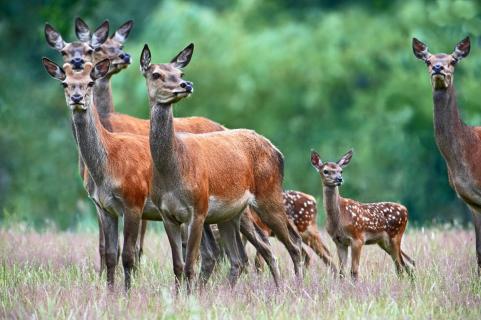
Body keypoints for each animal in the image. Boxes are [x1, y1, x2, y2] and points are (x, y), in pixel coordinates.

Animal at [141, 43, 302, 292]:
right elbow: (177, 266)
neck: (173, 169)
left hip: (269, 195)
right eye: (156, 74)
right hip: (230, 214)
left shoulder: (198, 209)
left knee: (292, 245)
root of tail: (278, 152)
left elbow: (190, 265)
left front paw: (190, 296)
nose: (186, 85)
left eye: (181, 73)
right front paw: (179, 296)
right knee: (246, 256)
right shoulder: (166, 213)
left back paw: (293, 288)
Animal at [310, 149, 414, 278]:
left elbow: (354, 271)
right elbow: (342, 272)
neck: (338, 218)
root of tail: (405, 209)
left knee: (401, 267)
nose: (339, 179)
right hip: (384, 242)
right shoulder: (339, 241)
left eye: (341, 171)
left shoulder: (358, 239)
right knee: (408, 264)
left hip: (395, 236)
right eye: (325, 171)